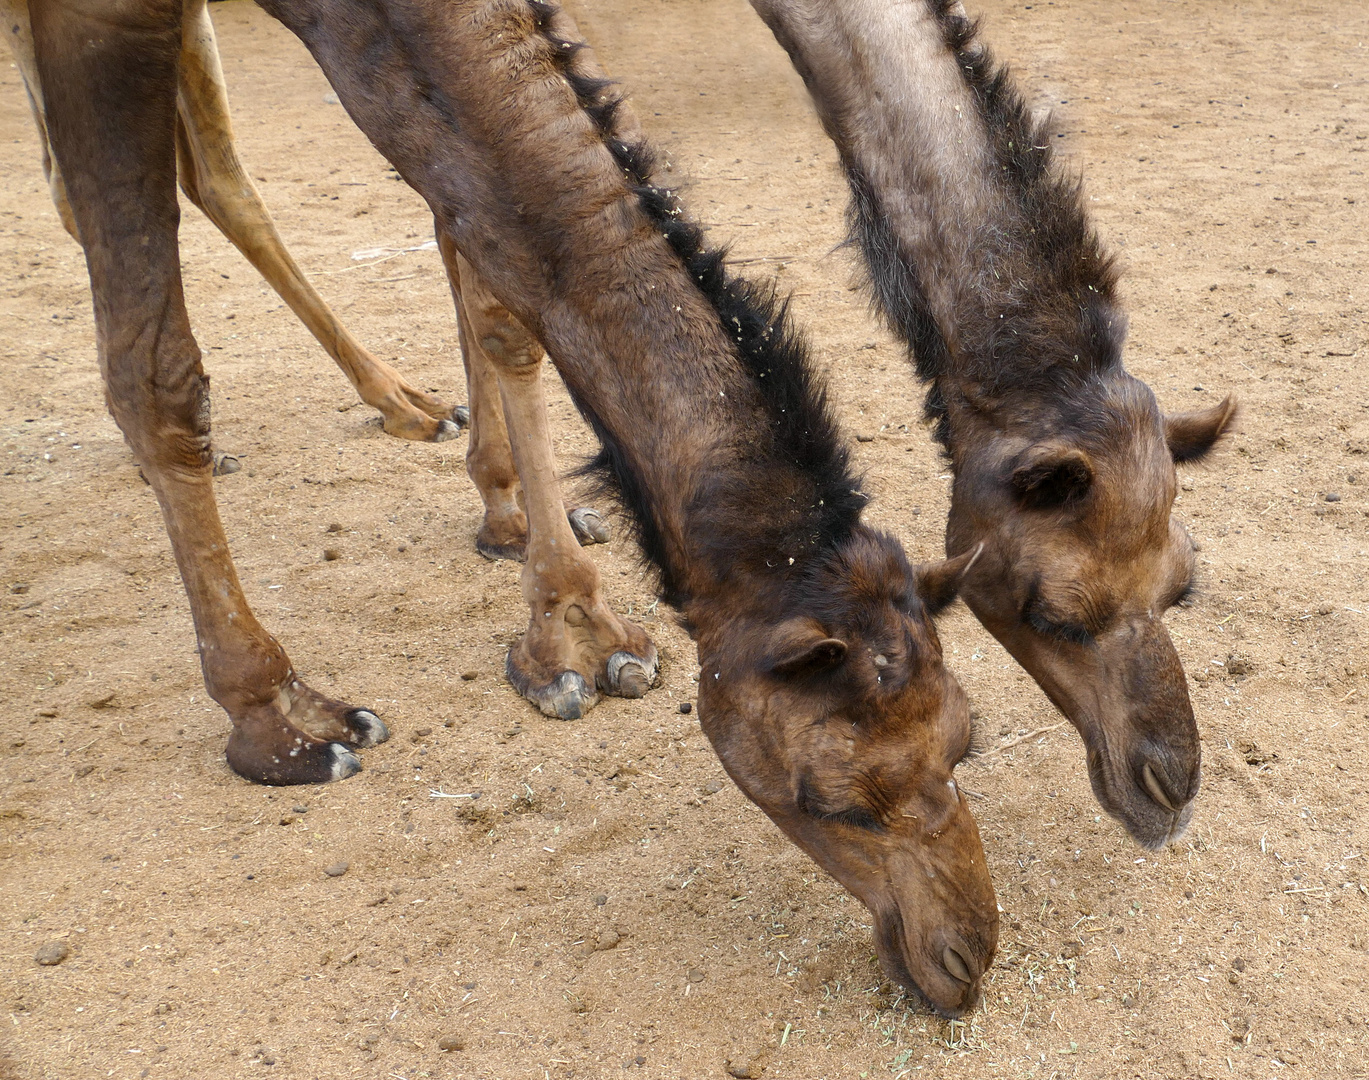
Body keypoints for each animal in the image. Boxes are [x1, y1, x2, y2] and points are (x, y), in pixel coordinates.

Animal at [16, 0, 1002, 1012]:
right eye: (831, 801)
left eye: (963, 740)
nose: (964, 955)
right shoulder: (96, 17)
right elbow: (156, 376)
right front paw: (278, 716)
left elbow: (499, 290)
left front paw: (575, 624)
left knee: (212, 180)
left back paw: (416, 413)